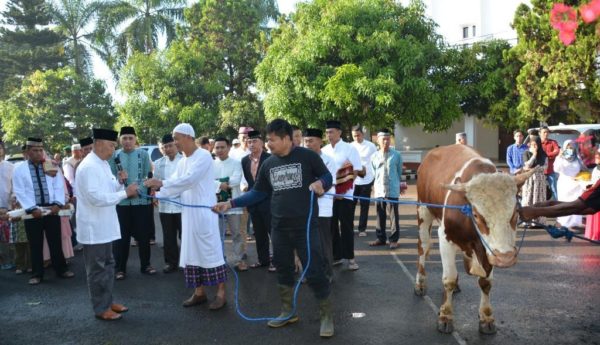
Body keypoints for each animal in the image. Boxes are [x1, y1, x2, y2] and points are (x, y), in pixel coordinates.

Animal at [412, 144, 536, 334]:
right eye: (477, 215)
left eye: (515, 211)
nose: (506, 258)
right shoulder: (445, 238)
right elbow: (448, 278)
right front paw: (445, 316)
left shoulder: (489, 250)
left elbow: (485, 283)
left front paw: (486, 317)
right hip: (423, 211)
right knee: (423, 249)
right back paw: (420, 283)